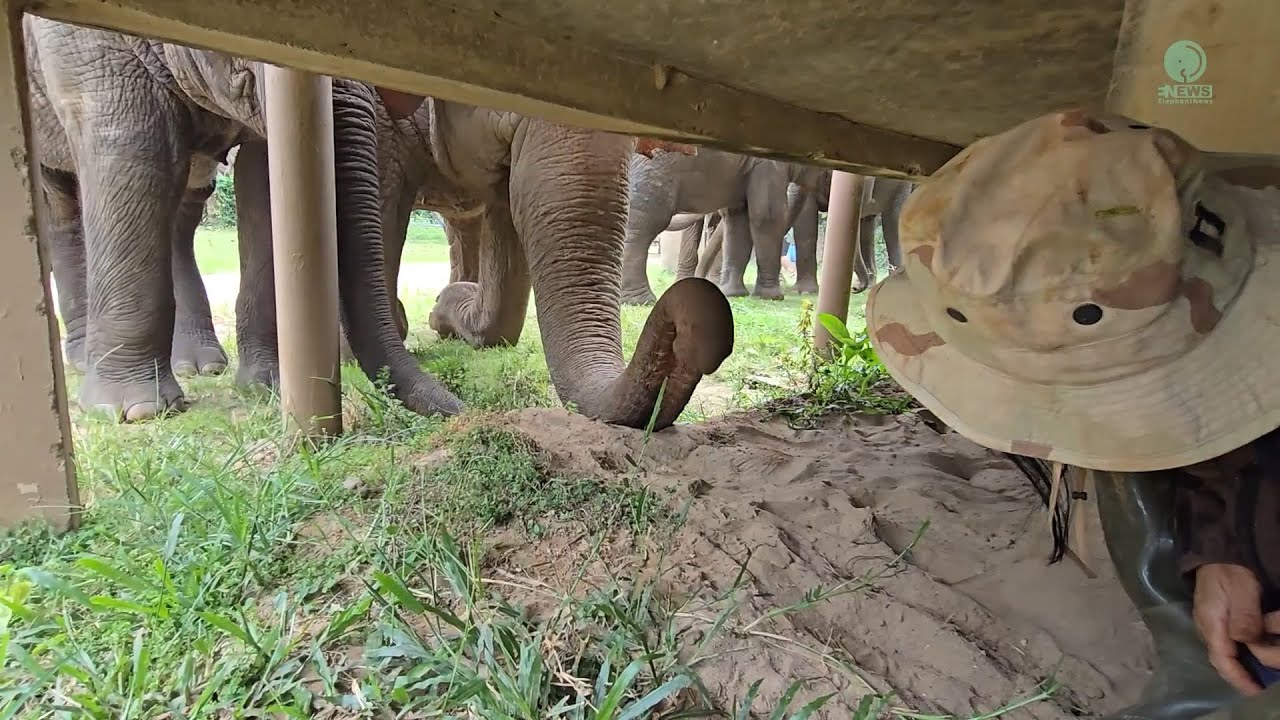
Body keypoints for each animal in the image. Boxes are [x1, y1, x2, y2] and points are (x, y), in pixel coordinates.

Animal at [25, 17, 462, 421]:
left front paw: (269, 385)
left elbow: (263, 178)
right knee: (61, 205)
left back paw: (199, 365)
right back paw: (88, 362)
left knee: (183, 210)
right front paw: (134, 411)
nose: (459, 406)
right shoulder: (83, 50)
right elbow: (133, 145)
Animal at [620, 147, 824, 304]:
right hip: (655, 166)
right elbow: (767, 216)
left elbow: (737, 219)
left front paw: (733, 294)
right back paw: (640, 301)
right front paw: (772, 297)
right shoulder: (767, 165)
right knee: (645, 222)